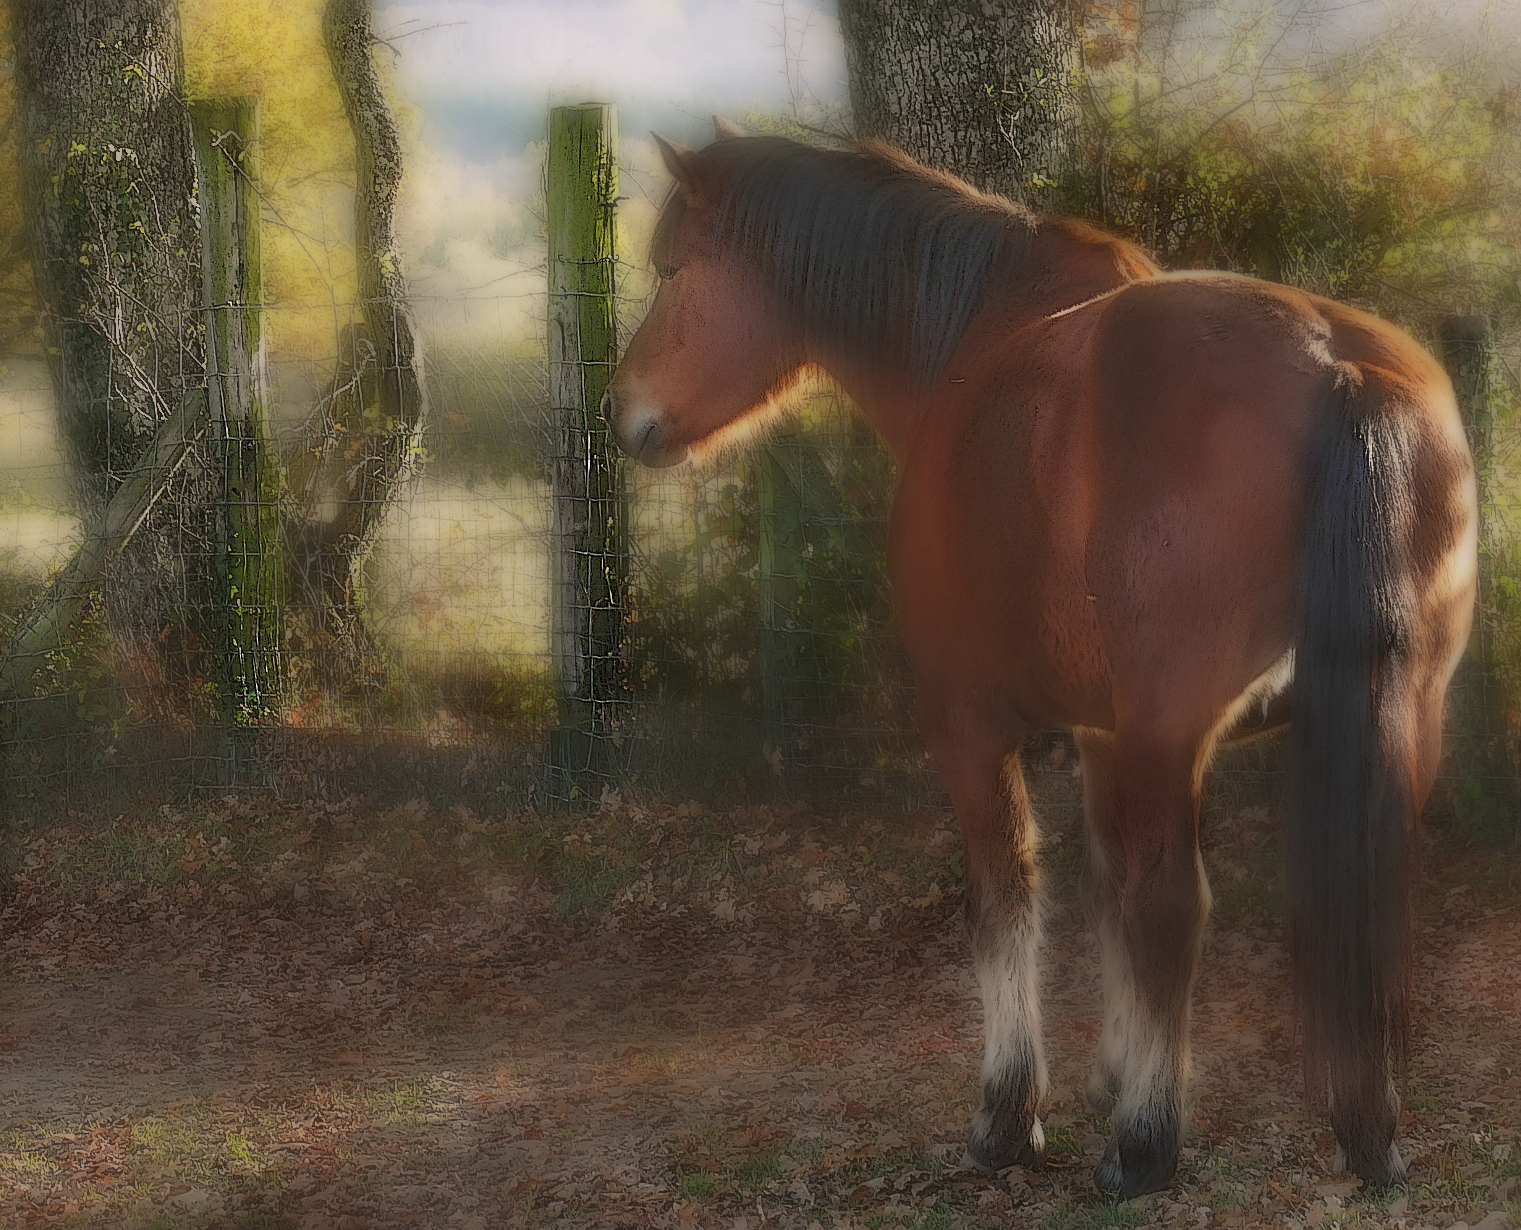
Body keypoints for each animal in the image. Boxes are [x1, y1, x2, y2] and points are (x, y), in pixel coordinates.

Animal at [603, 121, 1477, 1198]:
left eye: (670, 267)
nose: (623, 410)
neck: (972, 342)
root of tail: (1333, 366)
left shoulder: (969, 725)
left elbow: (1007, 903)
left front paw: (1010, 1115)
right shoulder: (1105, 737)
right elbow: (1104, 888)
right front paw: (1115, 1070)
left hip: (1172, 732)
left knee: (1173, 907)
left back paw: (1145, 1149)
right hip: (1402, 712)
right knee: (1371, 894)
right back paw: (1368, 1130)